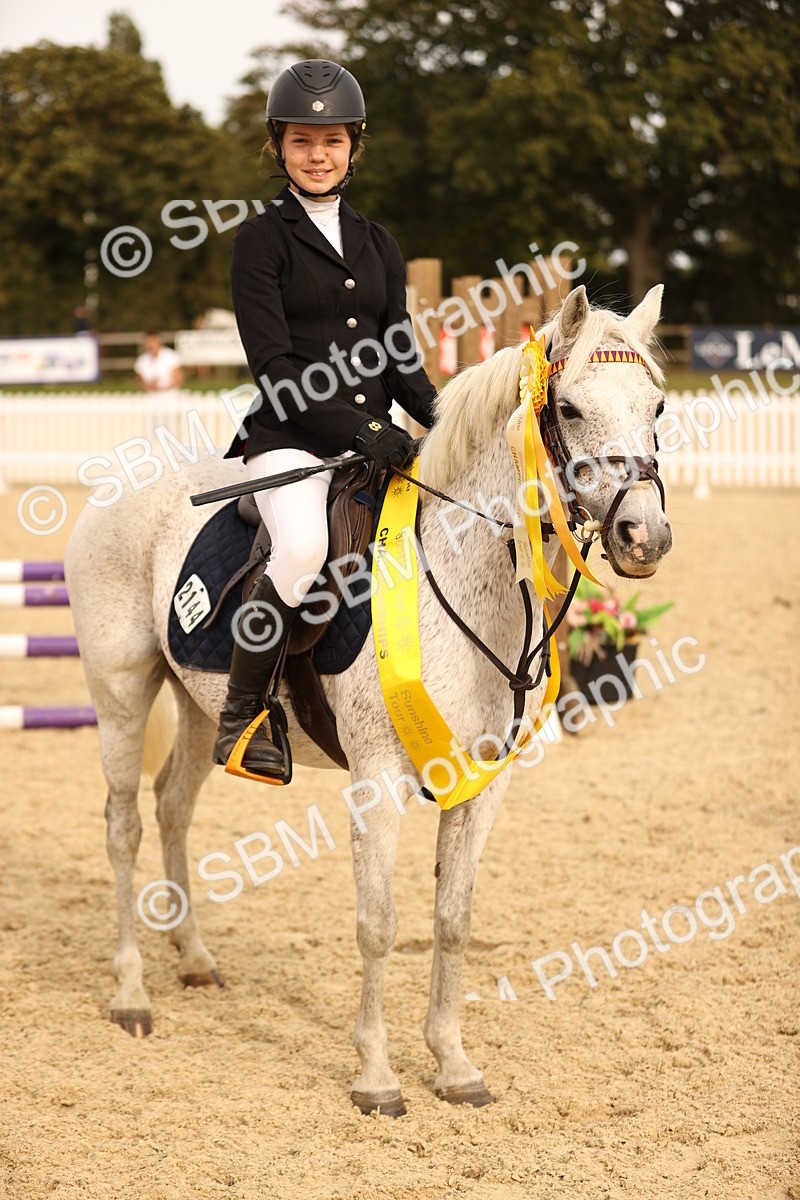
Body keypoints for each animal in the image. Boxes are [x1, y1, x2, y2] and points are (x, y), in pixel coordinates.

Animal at [64, 283, 672, 1116]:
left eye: (658, 406)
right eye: (573, 409)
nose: (646, 536)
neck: (466, 574)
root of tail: (115, 490)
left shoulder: (485, 783)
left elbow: (453, 919)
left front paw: (453, 1063)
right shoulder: (379, 780)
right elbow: (379, 924)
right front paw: (377, 1076)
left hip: (196, 704)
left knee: (172, 807)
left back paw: (193, 959)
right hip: (122, 689)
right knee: (122, 824)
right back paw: (131, 995)